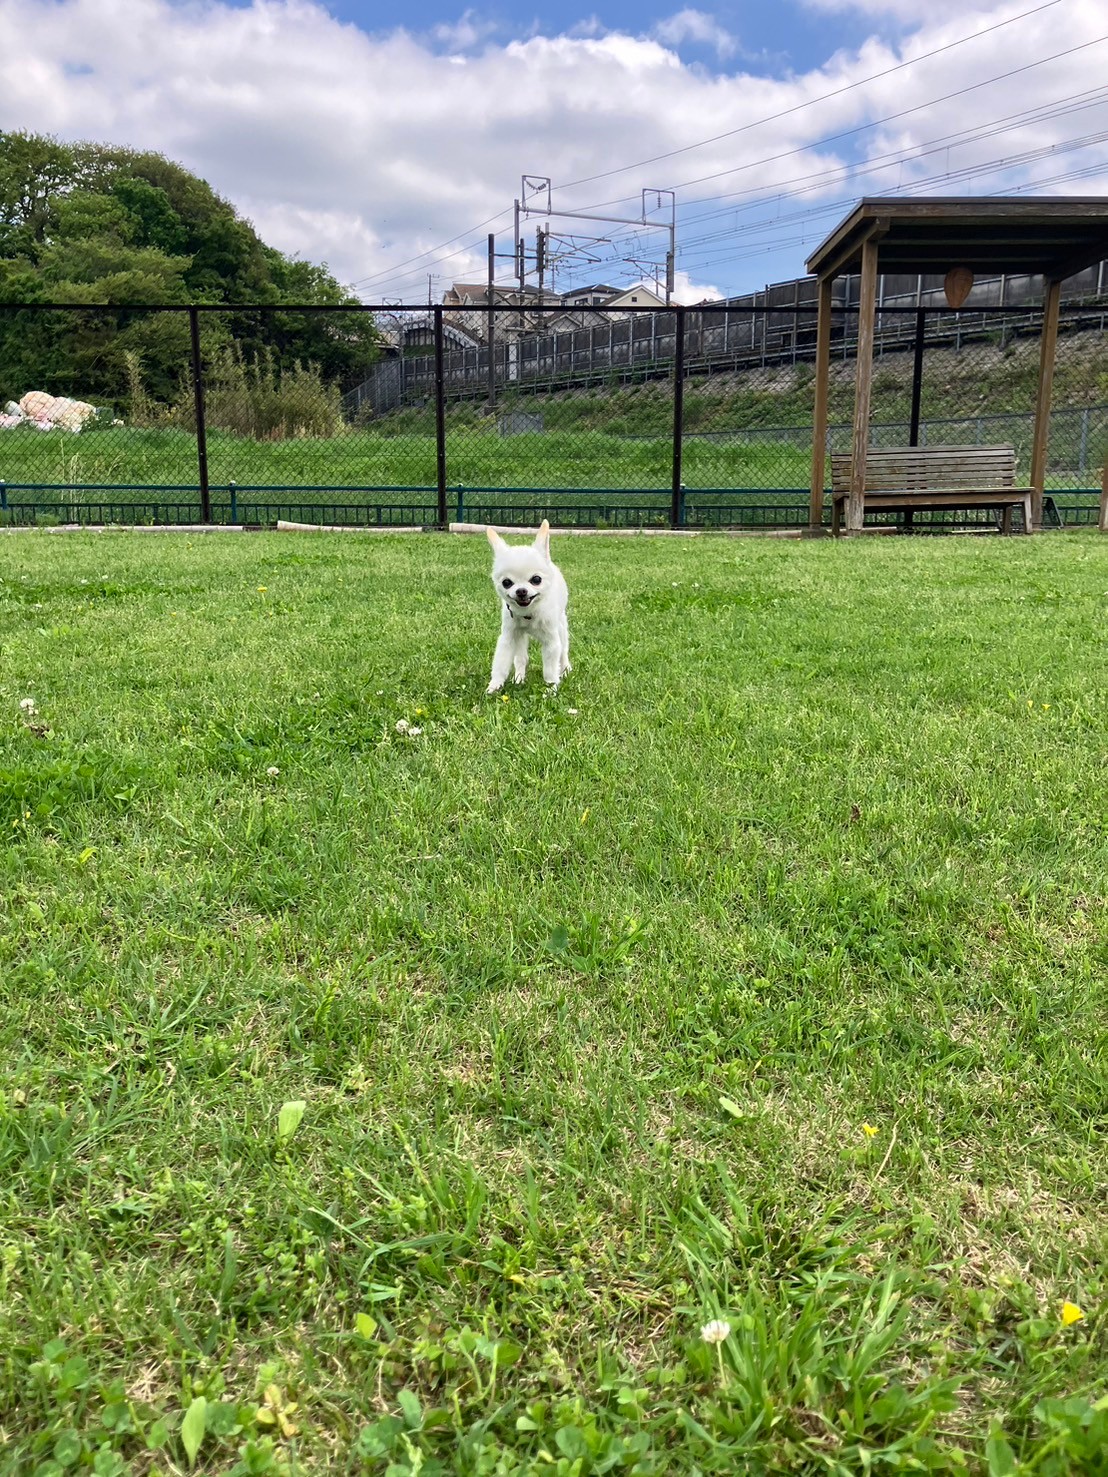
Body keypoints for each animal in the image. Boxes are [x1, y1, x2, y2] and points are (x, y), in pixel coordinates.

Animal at [486, 520, 570, 693]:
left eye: (536, 579)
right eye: (506, 582)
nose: (521, 591)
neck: (528, 613)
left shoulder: (552, 643)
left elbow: (550, 668)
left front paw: (551, 688)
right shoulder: (508, 637)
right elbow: (500, 663)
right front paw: (495, 685)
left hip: (561, 627)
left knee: (564, 651)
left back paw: (565, 669)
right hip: (520, 637)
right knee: (520, 658)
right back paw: (519, 678)